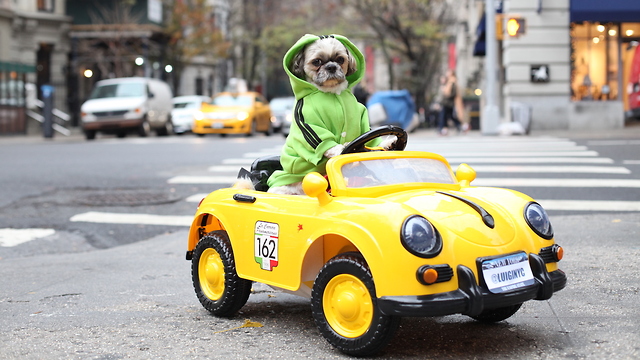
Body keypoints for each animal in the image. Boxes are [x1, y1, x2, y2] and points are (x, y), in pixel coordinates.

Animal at [266, 34, 396, 194]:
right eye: (317, 62)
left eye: (340, 59)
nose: (331, 67)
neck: (332, 92)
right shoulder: (309, 121)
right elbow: (326, 141)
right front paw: (342, 149)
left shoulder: (362, 120)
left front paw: (387, 144)